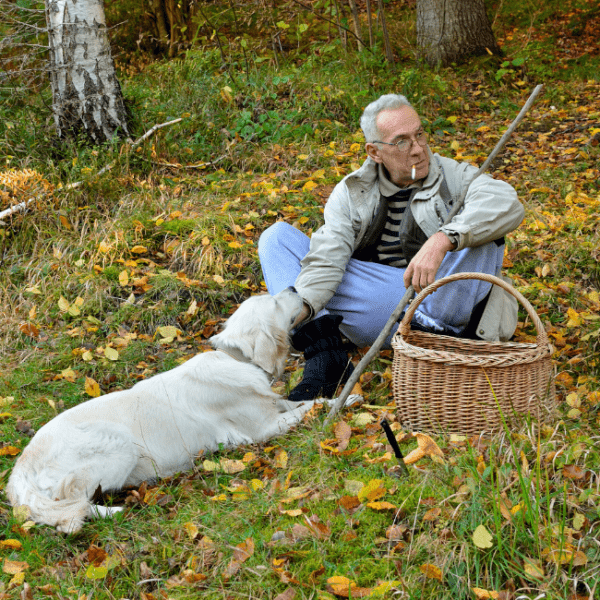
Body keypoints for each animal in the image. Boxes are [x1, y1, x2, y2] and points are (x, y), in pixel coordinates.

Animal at [7, 288, 330, 532]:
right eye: (274, 302)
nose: (293, 287)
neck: (235, 358)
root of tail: (21, 468)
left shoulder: (272, 405)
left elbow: (298, 401)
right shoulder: (263, 428)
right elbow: (305, 408)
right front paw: (334, 403)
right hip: (118, 446)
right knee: (69, 508)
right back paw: (113, 512)